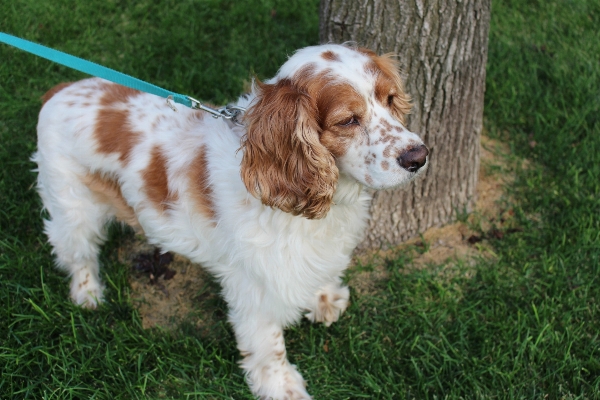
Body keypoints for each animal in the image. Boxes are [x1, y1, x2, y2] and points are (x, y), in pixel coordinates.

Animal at [32, 42, 426, 398]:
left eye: (391, 99)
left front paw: (324, 297)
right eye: (348, 120)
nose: (419, 156)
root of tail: (58, 90)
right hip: (72, 207)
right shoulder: (255, 284)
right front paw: (282, 386)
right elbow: (269, 343)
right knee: (77, 254)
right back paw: (88, 294)